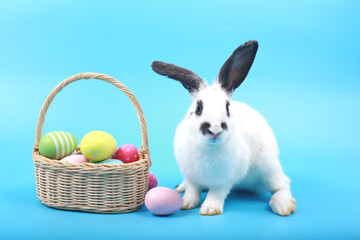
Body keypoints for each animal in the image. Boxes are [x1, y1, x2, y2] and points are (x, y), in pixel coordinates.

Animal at [152, 40, 296, 217]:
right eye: (198, 108)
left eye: (227, 108)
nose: (214, 130)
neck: (207, 148)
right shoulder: (192, 177)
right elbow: (193, 190)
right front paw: (186, 203)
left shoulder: (223, 180)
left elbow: (216, 193)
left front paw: (209, 209)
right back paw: (180, 188)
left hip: (268, 168)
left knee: (282, 185)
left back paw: (284, 206)